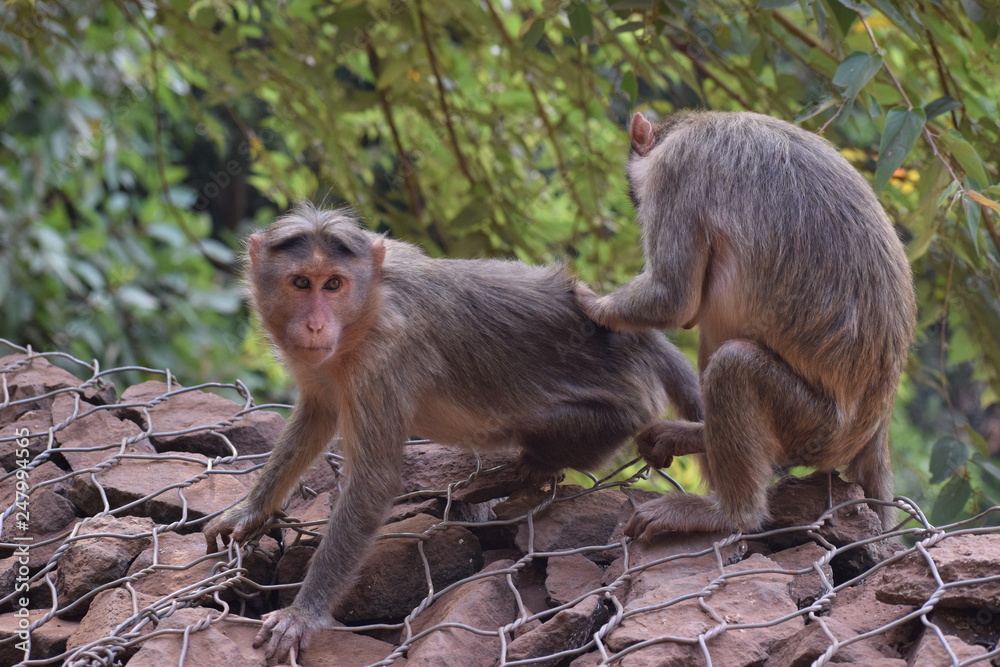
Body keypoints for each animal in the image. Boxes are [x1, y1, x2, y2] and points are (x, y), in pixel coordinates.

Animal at [203, 202, 703, 662]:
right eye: (301, 283)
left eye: (333, 284)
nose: (314, 324)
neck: (365, 309)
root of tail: (640, 341)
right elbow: (318, 413)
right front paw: (250, 510)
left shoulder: (386, 352)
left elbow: (373, 481)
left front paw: (302, 615)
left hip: (615, 413)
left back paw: (532, 468)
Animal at [576, 110, 916, 540]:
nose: (636, 204)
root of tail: (876, 426)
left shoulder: (676, 171)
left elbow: (674, 297)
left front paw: (590, 304)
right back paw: (697, 436)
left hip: (815, 428)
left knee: (733, 364)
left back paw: (731, 515)